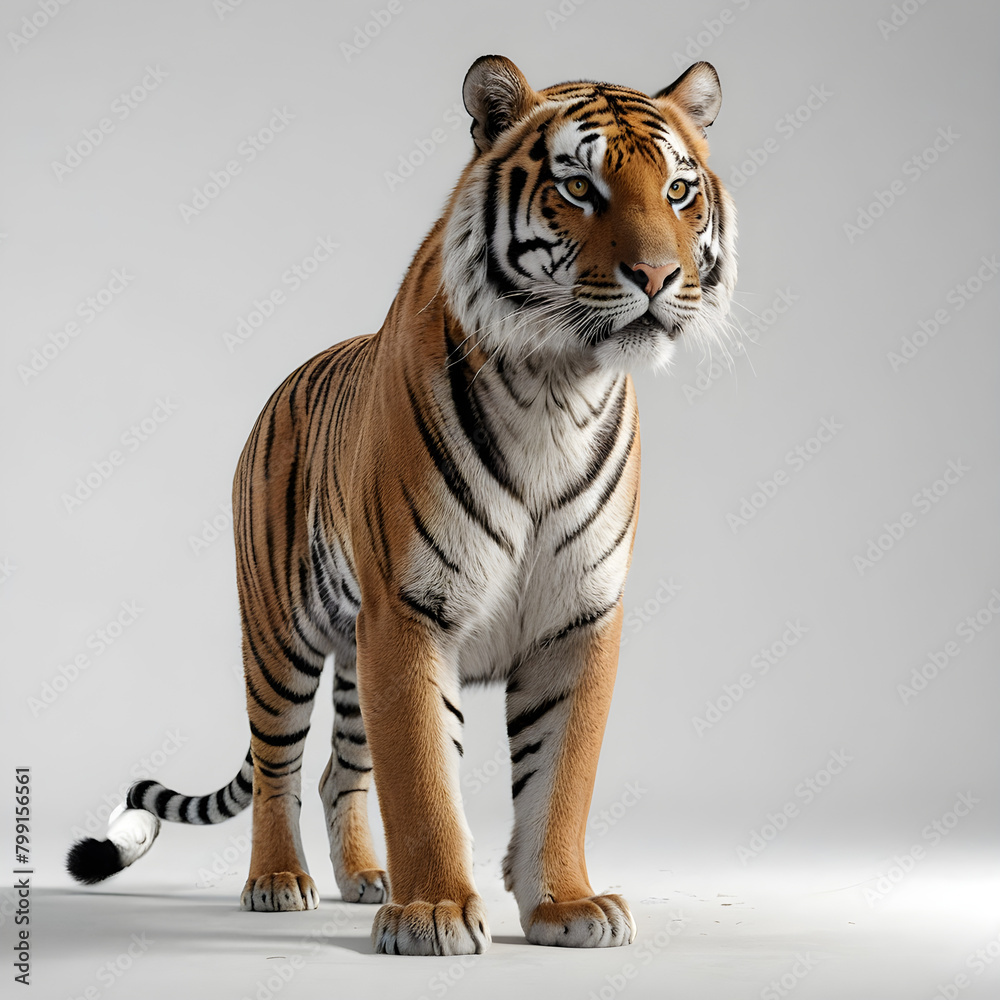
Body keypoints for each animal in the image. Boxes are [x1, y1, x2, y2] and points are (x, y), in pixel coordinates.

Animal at [66, 54, 736, 956]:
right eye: (580, 187)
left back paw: (362, 878)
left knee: (335, 771)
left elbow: (562, 777)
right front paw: (434, 914)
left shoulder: (578, 618)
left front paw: (565, 905)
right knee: (278, 767)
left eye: (677, 190)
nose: (660, 278)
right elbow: (422, 778)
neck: (559, 386)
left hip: (355, 660)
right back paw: (279, 882)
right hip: (278, 636)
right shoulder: (411, 612)